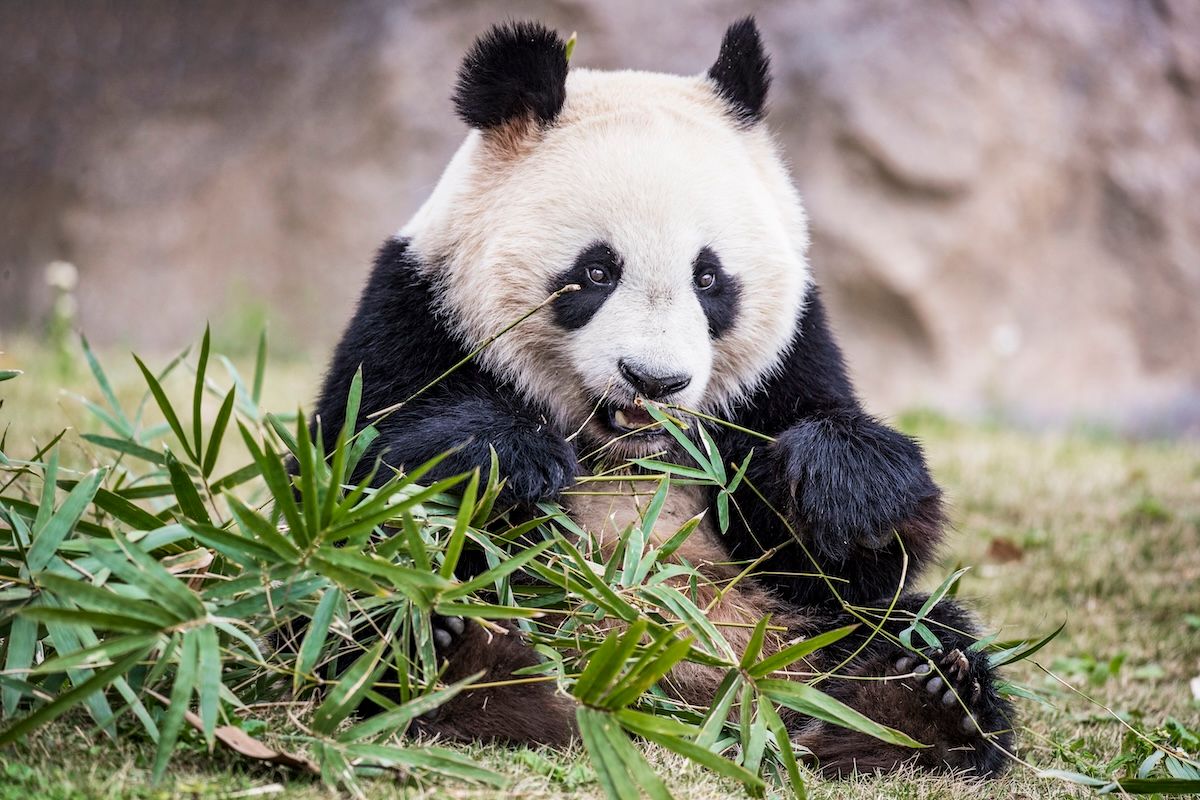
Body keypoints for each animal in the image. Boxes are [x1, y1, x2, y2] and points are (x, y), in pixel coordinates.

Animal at [309, 18, 1012, 777]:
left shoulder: (788, 360)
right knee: (369, 600)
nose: (653, 380)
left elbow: (846, 561)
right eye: (596, 271)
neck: (625, 450)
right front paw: (509, 458)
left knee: (912, 628)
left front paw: (842, 486)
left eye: (709, 278)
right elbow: (354, 470)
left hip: (805, 640)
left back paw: (917, 703)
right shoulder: (416, 313)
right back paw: (460, 662)